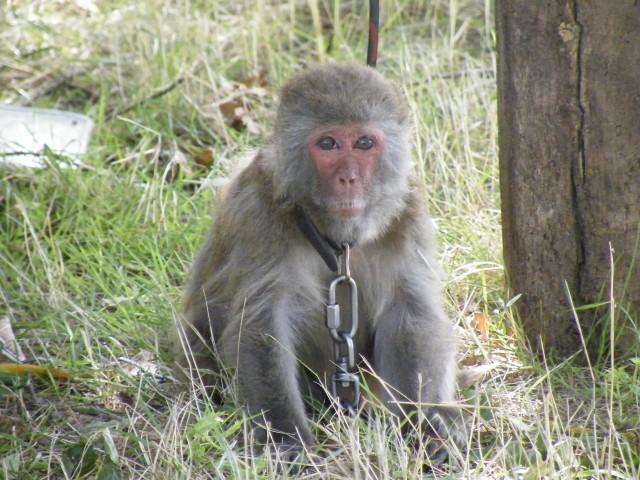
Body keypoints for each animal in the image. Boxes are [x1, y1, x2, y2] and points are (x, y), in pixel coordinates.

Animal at [175, 62, 464, 458]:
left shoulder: (409, 211)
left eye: (364, 143)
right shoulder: (259, 212)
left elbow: (411, 314)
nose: (348, 178)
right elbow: (264, 321)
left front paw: (425, 424)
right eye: (327, 144)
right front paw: (286, 439)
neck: (337, 237)